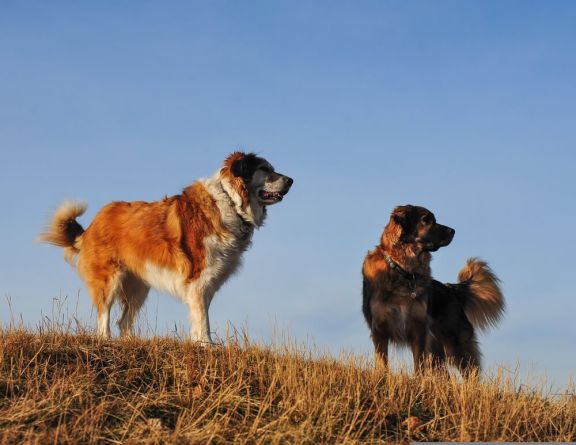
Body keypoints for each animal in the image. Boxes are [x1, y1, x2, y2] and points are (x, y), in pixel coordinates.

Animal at [39, 151, 292, 342]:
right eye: (265, 169)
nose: (291, 180)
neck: (229, 201)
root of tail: (93, 223)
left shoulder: (205, 285)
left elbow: (200, 315)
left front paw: (198, 343)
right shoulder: (198, 280)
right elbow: (203, 319)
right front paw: (206, 345)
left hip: (139, 288)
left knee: (124, 322)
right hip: (109, 279)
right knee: (104, 317)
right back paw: (106, 340)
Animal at [364, 205, 504, 372]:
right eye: (426, 220)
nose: (453, 231)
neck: (404, 271)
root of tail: (450, 289)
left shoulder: (418, 329)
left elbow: (418, 364)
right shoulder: (380, 329)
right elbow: (382, 363)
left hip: (456, 343)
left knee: (471, 371)